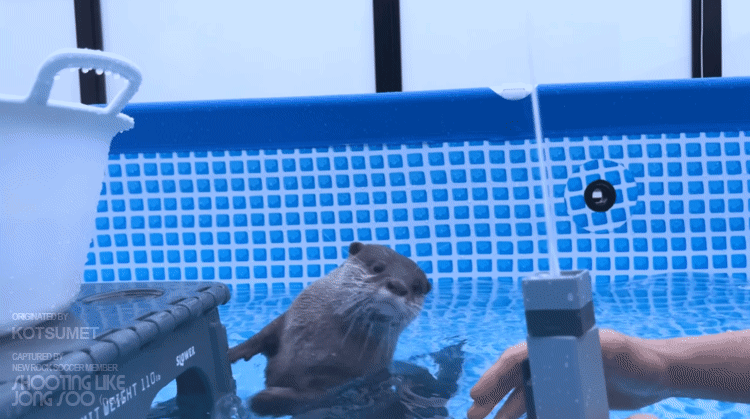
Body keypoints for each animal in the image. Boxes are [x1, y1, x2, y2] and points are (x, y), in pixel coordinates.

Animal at [227, 242, 432, 417]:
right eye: (378, 267)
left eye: (416, 286)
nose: (398, 286)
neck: (316, 344)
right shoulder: (288, 321)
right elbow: (261, 336)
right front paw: (232, 353)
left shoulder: (351, 378)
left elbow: (316, 397)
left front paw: (261, 399)